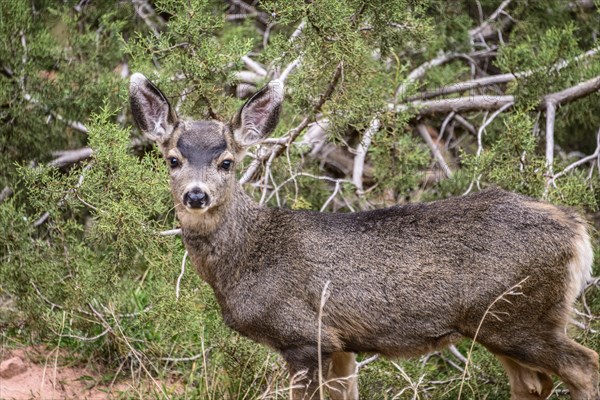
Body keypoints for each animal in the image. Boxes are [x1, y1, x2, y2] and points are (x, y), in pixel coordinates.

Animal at [131, 72, 600, 400]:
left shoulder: (305, 335)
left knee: (585, 367)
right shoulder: (341, 345)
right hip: (503, 323)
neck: (246, 258)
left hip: (520, 316)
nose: (196, 195)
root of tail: (577, 230)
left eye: (227, 161)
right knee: (533, 384)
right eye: (172, 159)